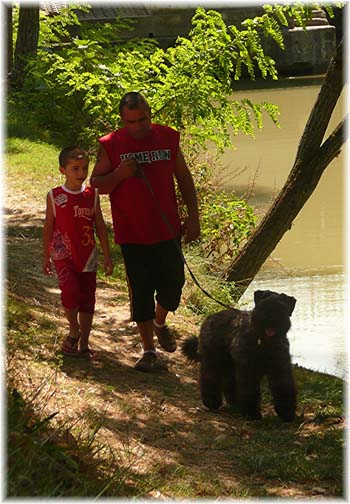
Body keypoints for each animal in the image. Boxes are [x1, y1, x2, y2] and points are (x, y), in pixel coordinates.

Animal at [182, 290, 296, 420]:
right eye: (263, 305)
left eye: (282, 308)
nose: (271, 318)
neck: (263, 342)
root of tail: (210, 317)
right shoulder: (249, 369)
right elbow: (250, 390)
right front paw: (252, 413)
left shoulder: (280, 368)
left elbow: (284, 388)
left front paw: (287, 413)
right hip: (213, 361)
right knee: (209, 378)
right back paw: (212, 402)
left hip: (231, 365)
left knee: (229, 383)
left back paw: (234, 403)